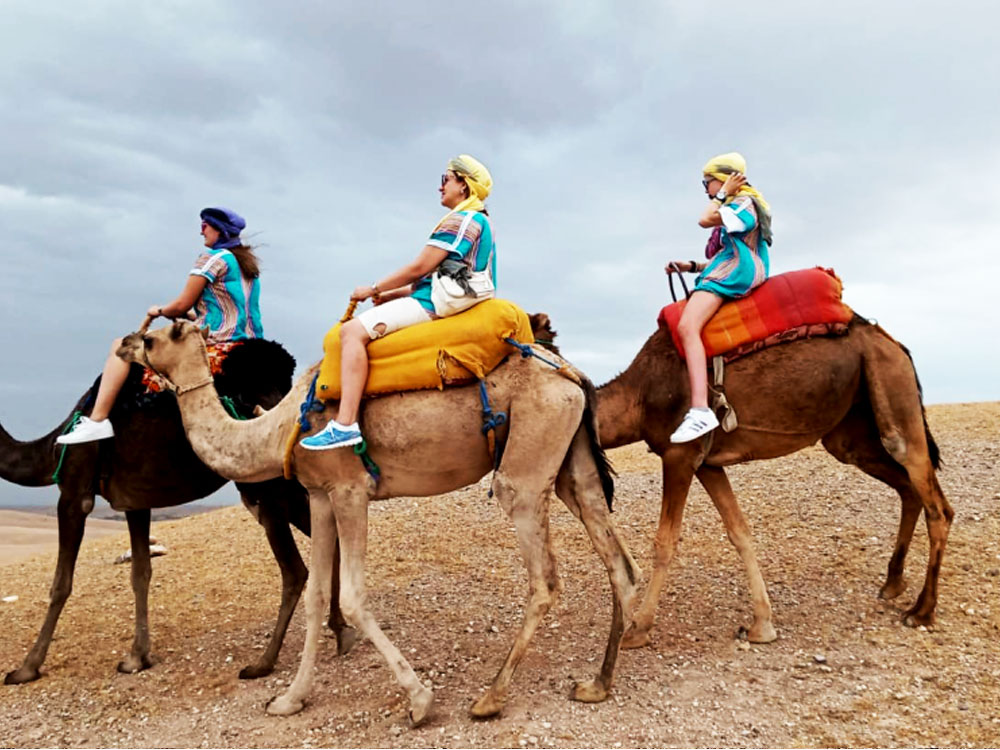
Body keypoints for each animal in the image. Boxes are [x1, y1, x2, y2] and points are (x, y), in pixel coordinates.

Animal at [0, 340, 356, 688]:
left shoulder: (74, 494)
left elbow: (61, 583)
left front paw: (26, 669)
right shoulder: (134, 502)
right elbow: (140, 573)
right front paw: (137, 657)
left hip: (266, 487)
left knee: (295, 569)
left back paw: (264, 663)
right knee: (330, 539)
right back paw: (340, 631)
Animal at [117, 320, 640, 724]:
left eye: (155, 337)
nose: (124, 342)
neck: (277, 428)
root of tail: (573, 375)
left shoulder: (351, 491)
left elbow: (350, 596)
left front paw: (420, 701)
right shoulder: (320, 494)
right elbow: (317, 596)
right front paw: (288, 699)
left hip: (527, 463)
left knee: (544, 576)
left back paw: (490, 698)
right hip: (572, 462)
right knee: (617, 559)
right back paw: (597, 683)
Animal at [532, 314, 952, 648]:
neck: (639, 396)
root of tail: (894, 344)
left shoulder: (679, 455)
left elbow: (665, 542)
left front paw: (639, 629)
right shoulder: (707, 463)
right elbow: (740, 532)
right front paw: (762, 624)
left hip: (891, 387)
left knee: (935, 502)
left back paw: (922, 610)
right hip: (851, 431)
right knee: (907, 489)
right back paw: (893, 584)